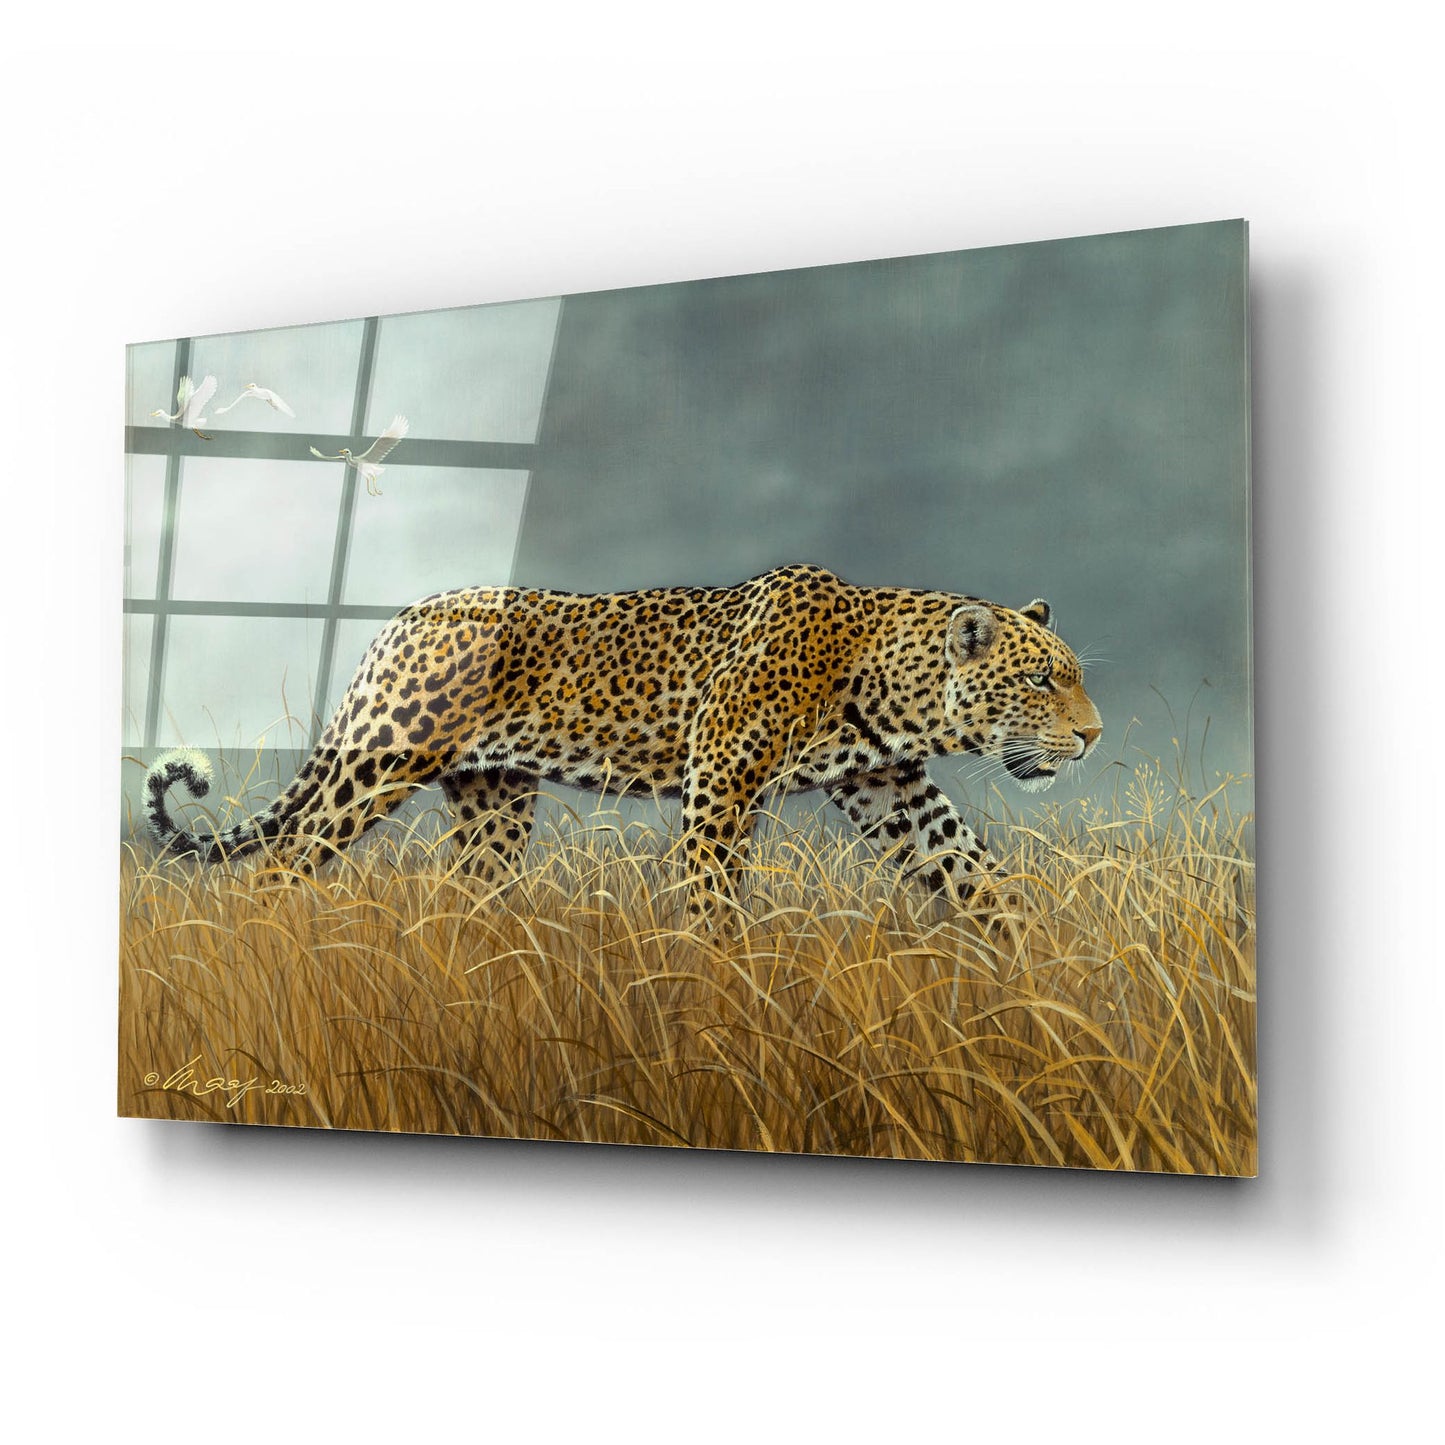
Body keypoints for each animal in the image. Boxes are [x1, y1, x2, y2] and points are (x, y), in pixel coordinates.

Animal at [145, 563, 1102, 925]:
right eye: (1039, 680)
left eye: (1071, 674)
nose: (1093, 736)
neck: (887, 684)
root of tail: (402, 619)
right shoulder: (720, 783)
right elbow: (712, 898)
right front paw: (724, 990)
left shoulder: (892, 788)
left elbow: (975, 871)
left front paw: (1033, 967)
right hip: (379, 760)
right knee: (283, 862)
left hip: (495, 798)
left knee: (473, 890)